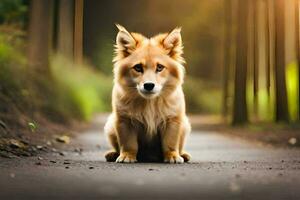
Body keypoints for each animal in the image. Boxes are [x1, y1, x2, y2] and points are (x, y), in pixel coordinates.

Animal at [104, 24, 191, 163]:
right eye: (138, 67)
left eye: (160, 67)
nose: (149, 85)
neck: (149, 103)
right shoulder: (124, 120)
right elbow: (128, 143)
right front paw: (127, 156)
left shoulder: (173, 120)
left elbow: (170, 143)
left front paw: (172, 156)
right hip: (110, 126)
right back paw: (112, 154)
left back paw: (183, 155)